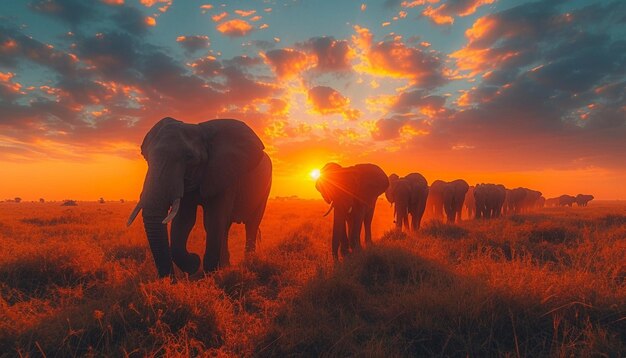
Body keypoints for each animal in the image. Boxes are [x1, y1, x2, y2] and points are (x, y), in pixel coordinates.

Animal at [127, 117, 270, 276]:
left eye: (189, 158)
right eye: (146, 158)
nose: (171, 279)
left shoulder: (225, 175)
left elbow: (213, 220)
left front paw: (210, 273)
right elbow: (184, 220)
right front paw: (195, 264)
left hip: (265, 189)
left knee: (251, 224)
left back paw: (248, 262)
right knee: (226, 226)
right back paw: (226, 265)